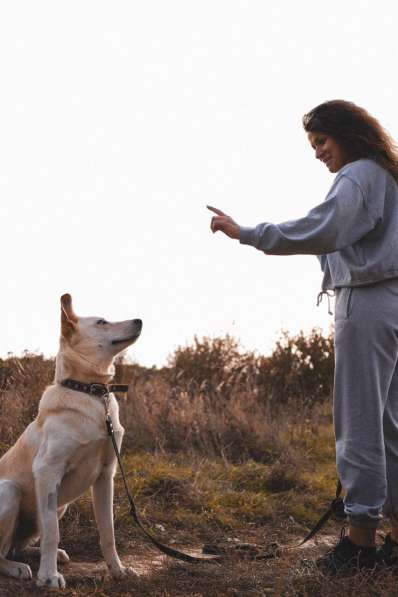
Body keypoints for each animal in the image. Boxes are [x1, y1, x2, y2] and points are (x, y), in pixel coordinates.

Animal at [0, 294, 142, 588]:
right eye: (101, 322)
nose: (140, 320)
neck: (91, 393)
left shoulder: (106, 476)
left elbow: (108, 532)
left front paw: (118, 570)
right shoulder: (47, 471)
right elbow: (52, 533)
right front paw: (49, 576)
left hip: (60, 506)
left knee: (17, 545)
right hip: (9, 491)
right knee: (3, 552)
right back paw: (17, 567)